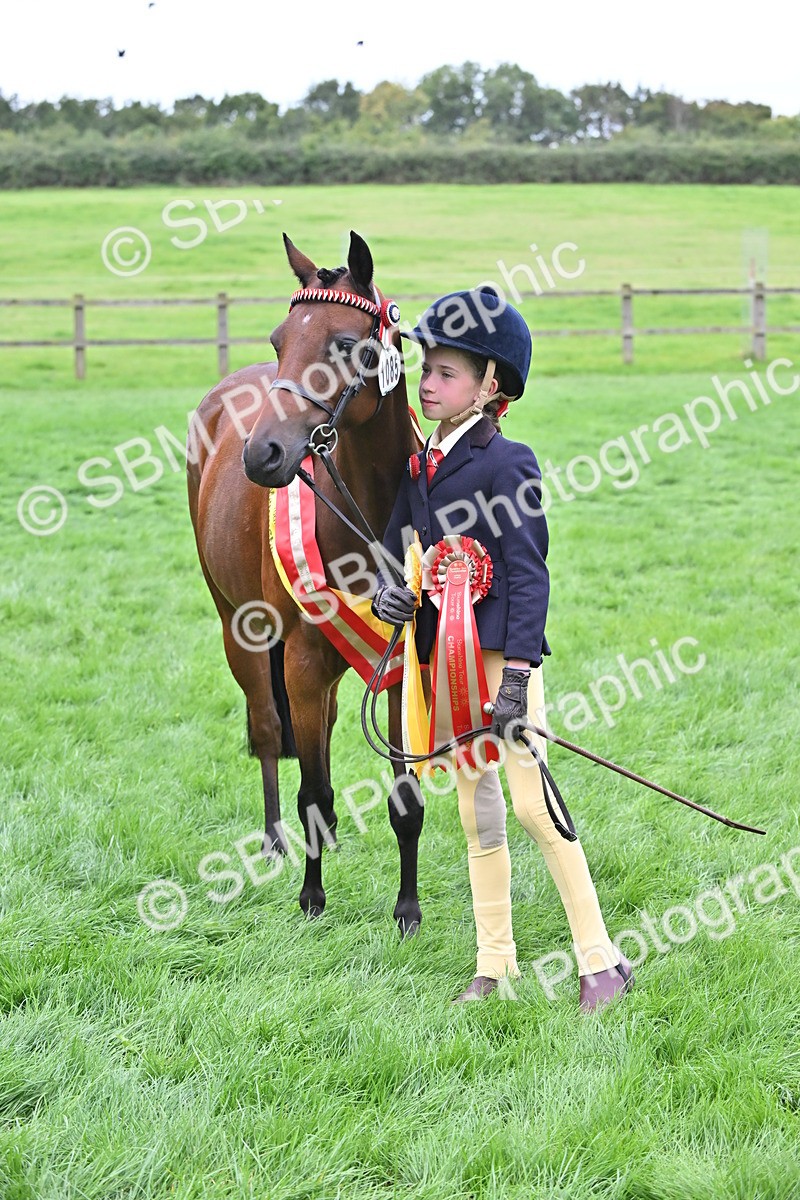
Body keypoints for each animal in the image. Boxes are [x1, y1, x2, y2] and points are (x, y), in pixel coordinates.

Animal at [187, 231, 426, 933]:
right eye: (278, 340)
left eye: (346, 344)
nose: (263, 454)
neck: (369, 510)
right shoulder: (301, 659)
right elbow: (313, 789)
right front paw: (312, 899)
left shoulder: (398, 659)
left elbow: (405, 795)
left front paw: (407, 909)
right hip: (241, 631)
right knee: (269, 729)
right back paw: (273, 843)